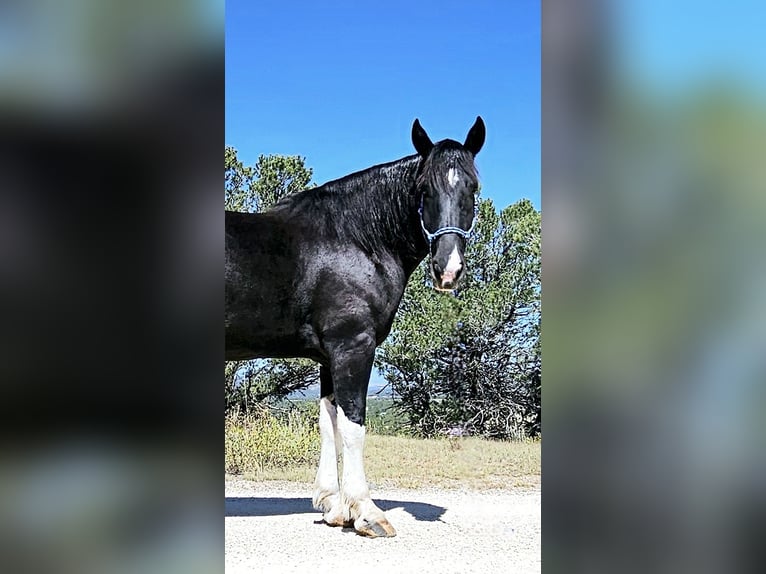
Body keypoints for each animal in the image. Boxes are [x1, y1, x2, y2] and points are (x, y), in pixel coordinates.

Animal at [225, 117, 486, 540]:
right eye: (423, 188)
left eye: (472, 186)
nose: (447, 269)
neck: (356, 240)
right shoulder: (353, 346)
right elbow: (353, 425)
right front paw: (366, 512)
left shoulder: (327, 357)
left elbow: (328, 422)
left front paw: (333, 506)